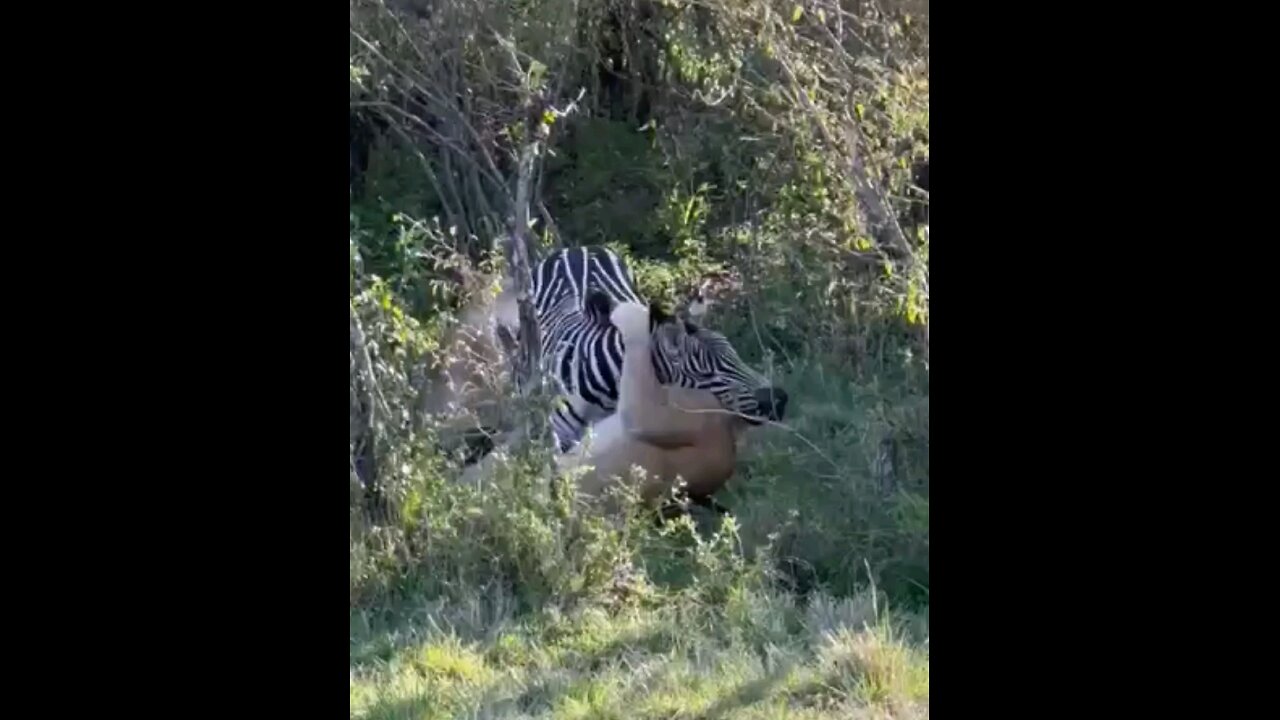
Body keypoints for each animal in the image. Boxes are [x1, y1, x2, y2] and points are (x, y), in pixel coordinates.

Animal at [494, 243, 783, 450]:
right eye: (706, 373)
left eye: (735, 354)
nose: (778, 400)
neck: (607, 388)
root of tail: (570, 249)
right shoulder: (564, 438)